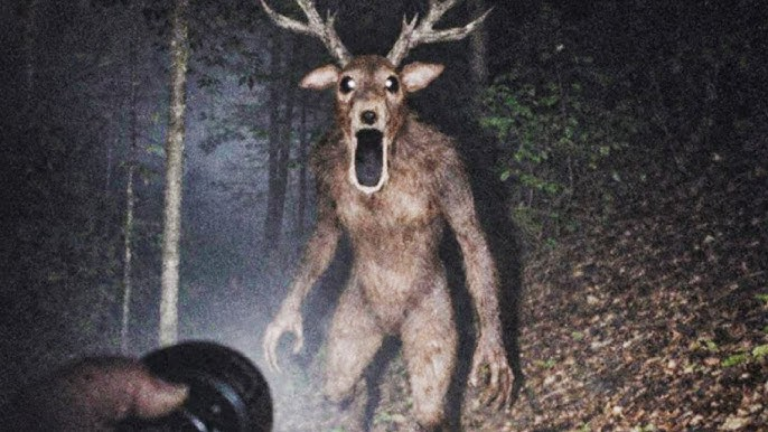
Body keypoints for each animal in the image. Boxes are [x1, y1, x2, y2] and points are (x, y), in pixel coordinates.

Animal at [260, 1, 514, 430]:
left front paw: (493, 352)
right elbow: (324, 237)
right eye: (345, 83)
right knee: (346, 386)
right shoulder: (323, 182)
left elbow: (471, 237)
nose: (368, 113)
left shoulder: (450, 169)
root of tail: (392, 326)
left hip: (432, 326)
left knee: (430, 409)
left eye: (392, 83)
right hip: (353, 322)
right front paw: (283, 323)